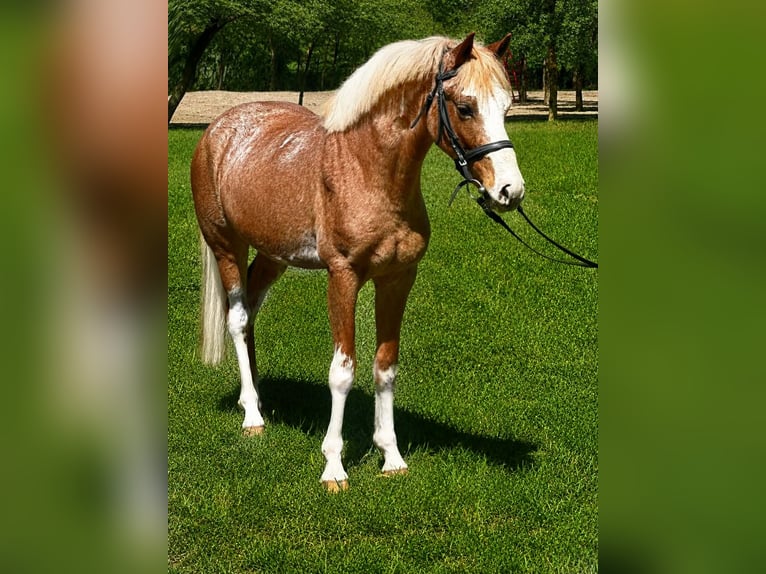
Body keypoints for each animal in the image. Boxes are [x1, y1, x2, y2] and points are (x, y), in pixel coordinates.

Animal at [190, 33, 526, 492]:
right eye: (465, 107)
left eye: (507, 107)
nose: (510, 191)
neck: (368, 170)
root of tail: (218, 130)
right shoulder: (343, 278)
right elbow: (343, 371)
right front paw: (334, 467)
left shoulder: (398, 279)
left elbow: (385, 367)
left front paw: (391, 457)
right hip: (227, 246)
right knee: (238, 319)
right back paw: (253, 417)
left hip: (272, 256)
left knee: (251, 314)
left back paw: (255, 396)